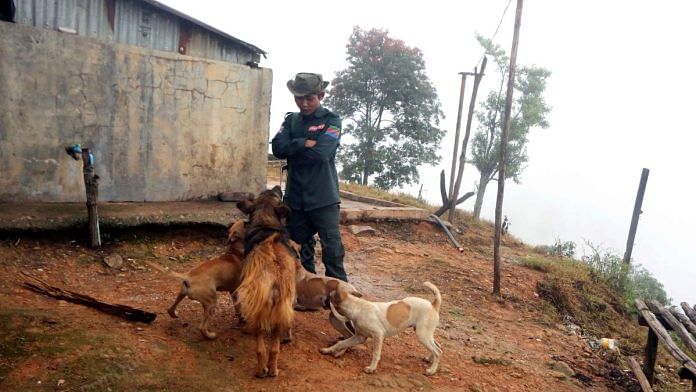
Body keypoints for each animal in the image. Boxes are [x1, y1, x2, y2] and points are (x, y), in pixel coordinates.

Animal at [237, 187, 296, 376]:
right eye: (272, 193)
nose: (277, 186)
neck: (266, 223)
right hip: (281, 307)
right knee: (275, 348)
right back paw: (273, 369)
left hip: (259, 307)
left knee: (260, 346)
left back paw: (260, 369)